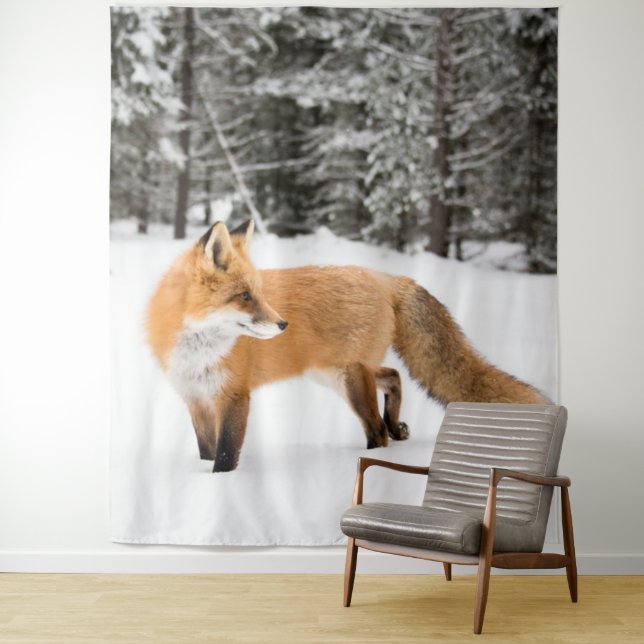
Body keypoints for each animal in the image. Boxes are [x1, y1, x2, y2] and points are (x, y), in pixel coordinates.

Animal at [147, 220, 547, 472]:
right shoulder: (196, 399)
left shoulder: (234, 396)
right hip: (335, 374)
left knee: (377, 430)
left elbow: (225, 457)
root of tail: (384, 277)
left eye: (258, 293)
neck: (198, 350)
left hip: (349, 379)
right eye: (244, 296)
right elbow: (206, 452)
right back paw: (396, 425)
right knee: (394, 376)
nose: (283, 324)